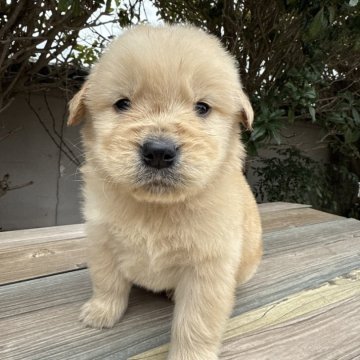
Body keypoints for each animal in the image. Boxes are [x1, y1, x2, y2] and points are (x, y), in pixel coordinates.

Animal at [68, 24, 262, 360]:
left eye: (202, 108)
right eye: (122, 104)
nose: (159, 152)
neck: (155, 207)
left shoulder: (207, 270)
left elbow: (195, 324)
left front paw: (190, 355)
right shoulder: (101, 239)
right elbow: (107, 281)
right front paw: (101, 312)